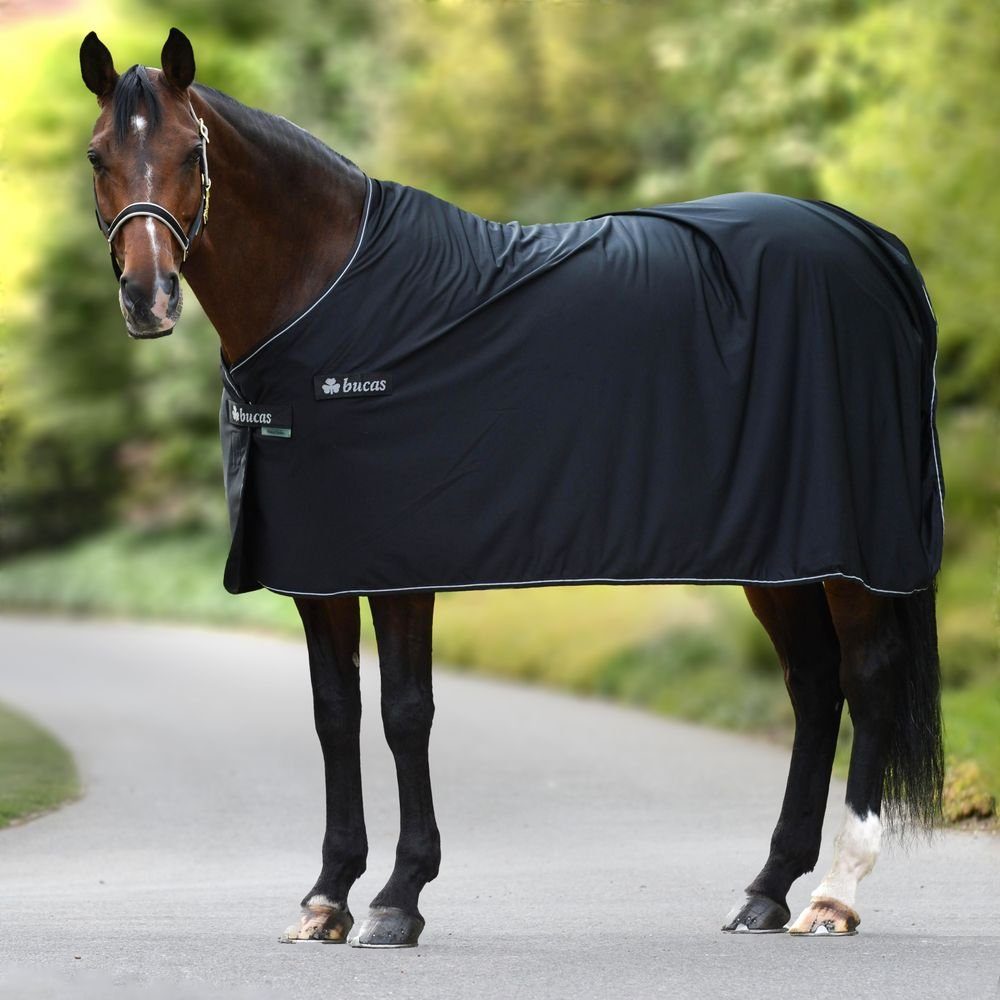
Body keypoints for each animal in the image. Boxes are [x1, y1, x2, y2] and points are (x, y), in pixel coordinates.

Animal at [79, 28, 944, 947]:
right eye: (98, 155)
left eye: (190, 150)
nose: (148, 298)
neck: (331, 307)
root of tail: (877, 247)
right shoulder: (320, 568)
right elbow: (334, 713)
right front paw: (326, 897)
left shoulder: (400, 565)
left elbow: (404, 712)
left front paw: (398, 898)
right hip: (777, 550)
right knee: (813, 689)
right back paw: (768, 890)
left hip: (852, 552)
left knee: (868, 678)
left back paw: (835, 894)